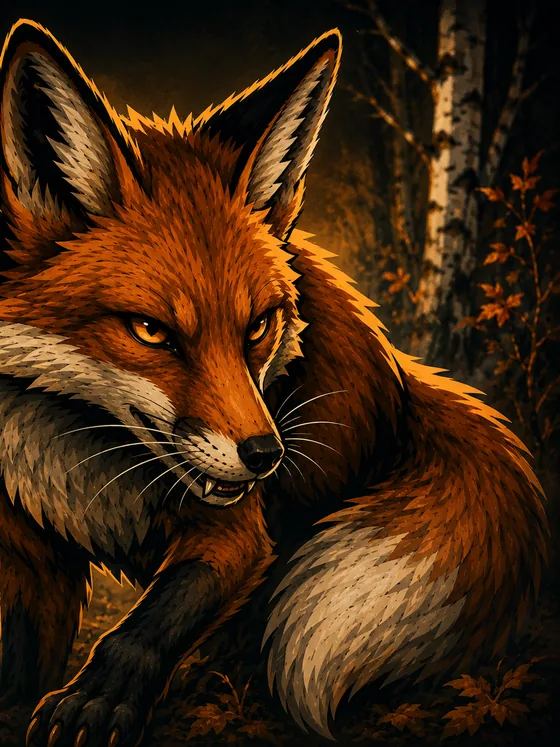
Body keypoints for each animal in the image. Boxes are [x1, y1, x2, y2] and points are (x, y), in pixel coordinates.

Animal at [0, 17, 548, 747]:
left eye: (257, 324)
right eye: (150, 331)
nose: (264, 455)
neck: (77, 453)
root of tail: (405, 378)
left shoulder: (233, 533)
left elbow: (147, 625)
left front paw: (96, 700)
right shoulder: (25, 546)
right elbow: (19, 647)